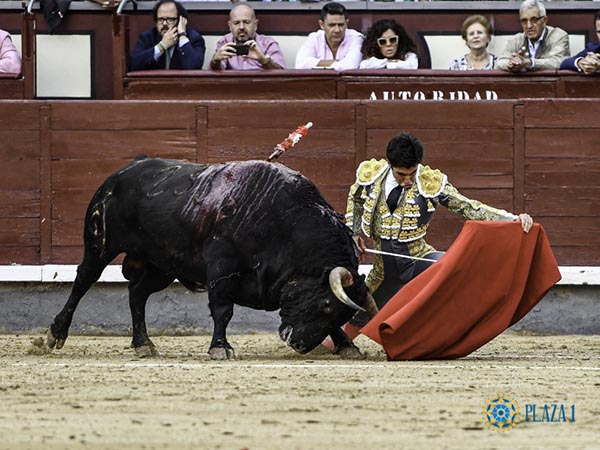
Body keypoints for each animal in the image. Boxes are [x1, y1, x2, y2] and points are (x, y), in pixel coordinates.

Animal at [45, 157, 376, 358]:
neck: (285, 222)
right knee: (83, 281)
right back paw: (55, 334)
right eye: (324, 305)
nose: (298, 344)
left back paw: (143, 344)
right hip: (101, 245)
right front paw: (220, 347)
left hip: (161, 264)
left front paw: (347, 346)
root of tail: (122, 172)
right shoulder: (222, 266)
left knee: (137, 294)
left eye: (341, 314)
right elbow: (222, 310)